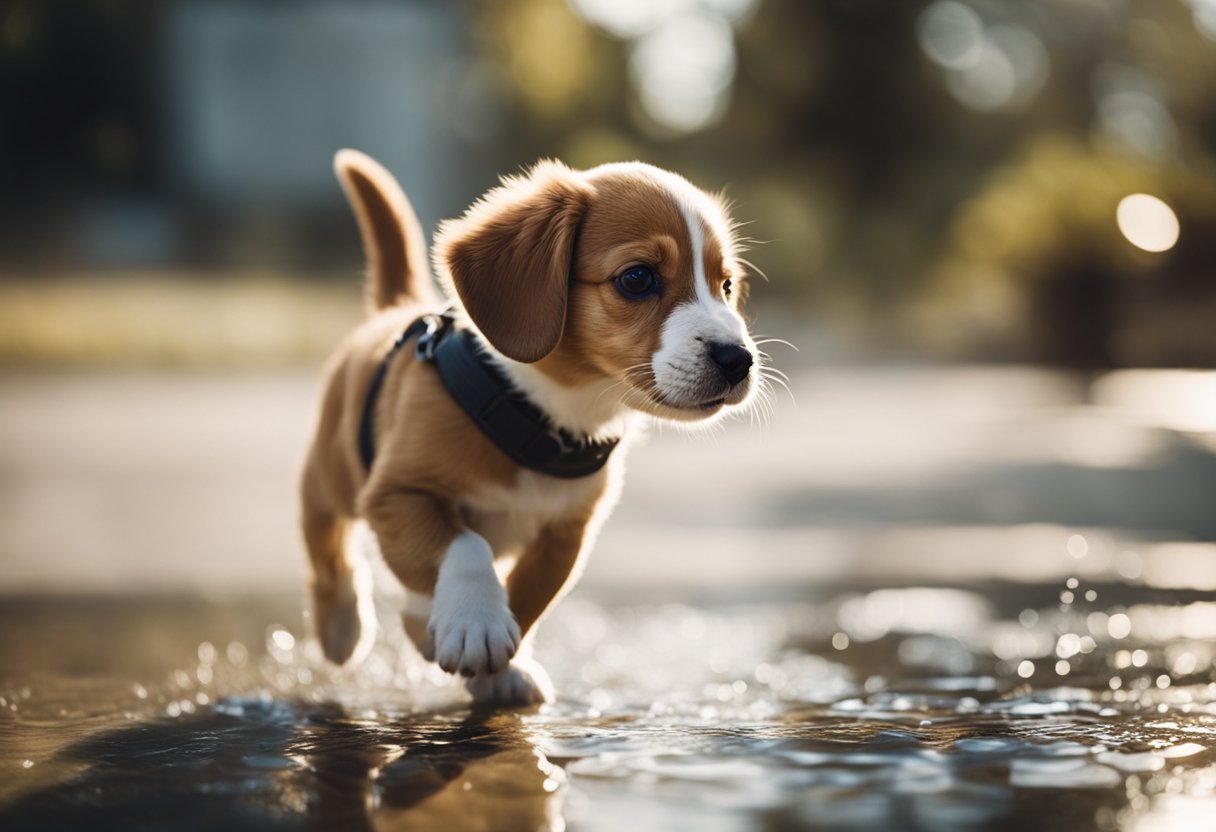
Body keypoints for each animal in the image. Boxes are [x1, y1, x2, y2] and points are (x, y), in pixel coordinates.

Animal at [299, 149, 758, 700]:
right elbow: (465, 545)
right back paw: (342, 627)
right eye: (637, 278)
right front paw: (475, 623)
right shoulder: (399, 493)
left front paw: (498, 669)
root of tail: (399, 308)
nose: (739, 359)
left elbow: (528, 599)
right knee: (327, 551)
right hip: (331, 479)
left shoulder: (566, 535)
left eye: (726, 285)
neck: (545, 418)